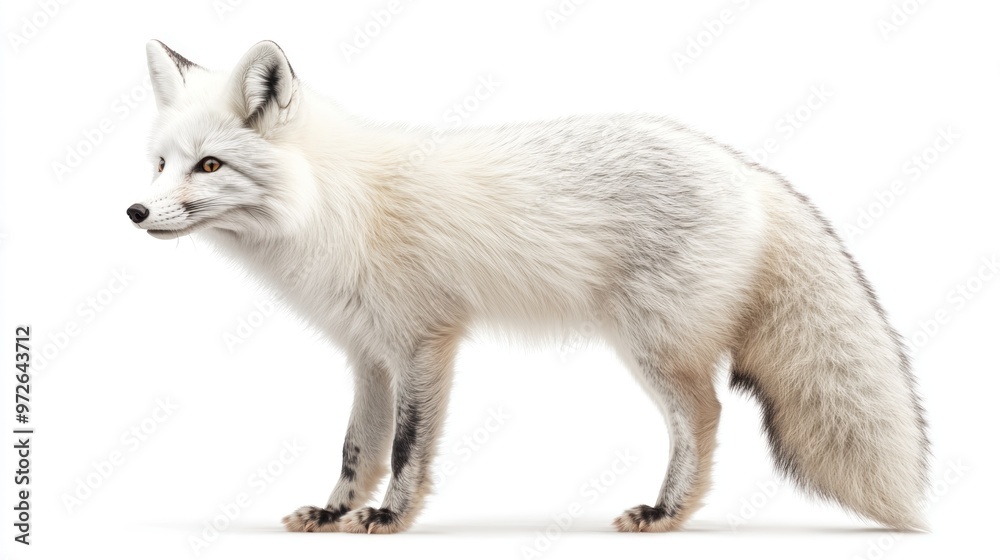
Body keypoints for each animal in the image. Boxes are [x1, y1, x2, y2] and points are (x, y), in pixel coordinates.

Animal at [129, 40, 929, 534]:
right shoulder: (368, 354)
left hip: (652, 347)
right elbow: (358, 448)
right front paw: (333, 514)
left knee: (703, 416)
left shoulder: (425, 342)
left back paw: (666, 513)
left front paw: (389, 519)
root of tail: (745, 168)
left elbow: (406, 450)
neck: (336, 205)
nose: (134, 212)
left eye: (208, 166)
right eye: (161, 164)